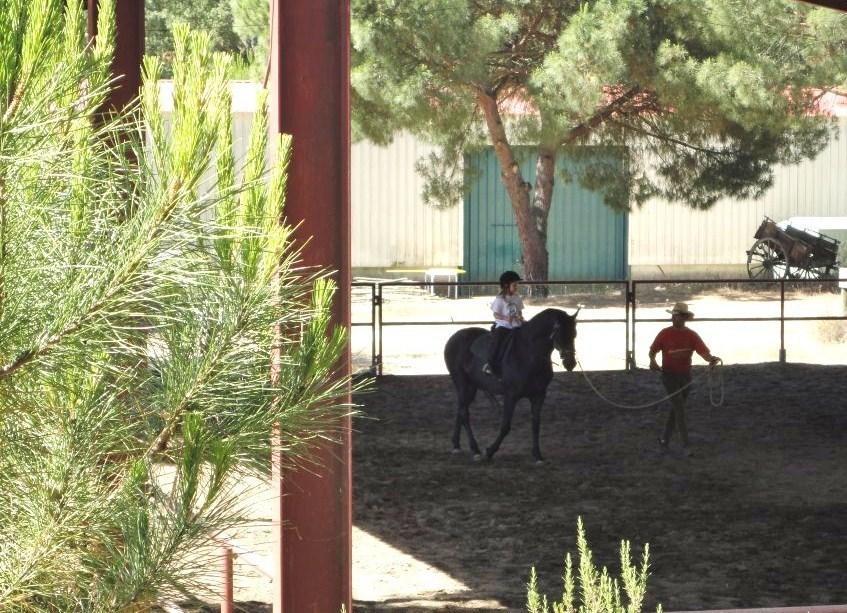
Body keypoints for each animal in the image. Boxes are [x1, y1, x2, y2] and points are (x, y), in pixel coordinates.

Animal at [444, 308, 576, 462]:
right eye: (561, 334)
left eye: (574, 334)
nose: (570, 363)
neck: (529, 354)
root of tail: (454, 337)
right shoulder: (511, 396)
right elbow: (505, 426)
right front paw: (490, 451)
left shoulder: (539, 395)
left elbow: (536, 424)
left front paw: (537, 455)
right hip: (462, 382)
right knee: (464, 413)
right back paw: (475, 449)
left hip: (471, 386)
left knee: (461, 409)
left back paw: (456, 445)